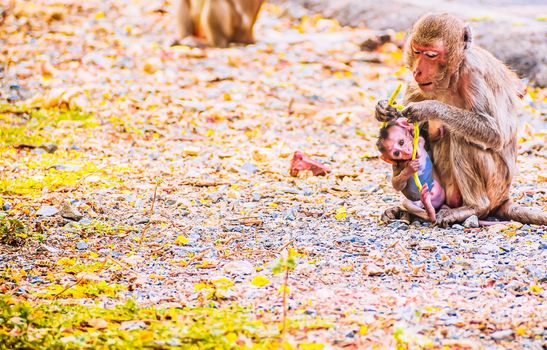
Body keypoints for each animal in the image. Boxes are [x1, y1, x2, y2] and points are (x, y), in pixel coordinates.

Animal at [376, 13, 547, 227]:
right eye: (417, 51)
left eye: (430, 55)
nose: (417, 71)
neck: (452, 76)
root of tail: (503, 198)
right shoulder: (419, 85)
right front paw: (383, 110)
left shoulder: (473, 74)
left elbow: (494, 132)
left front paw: (428, 108)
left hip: (495, 185)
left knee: (462, 137)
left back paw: (474, 207)